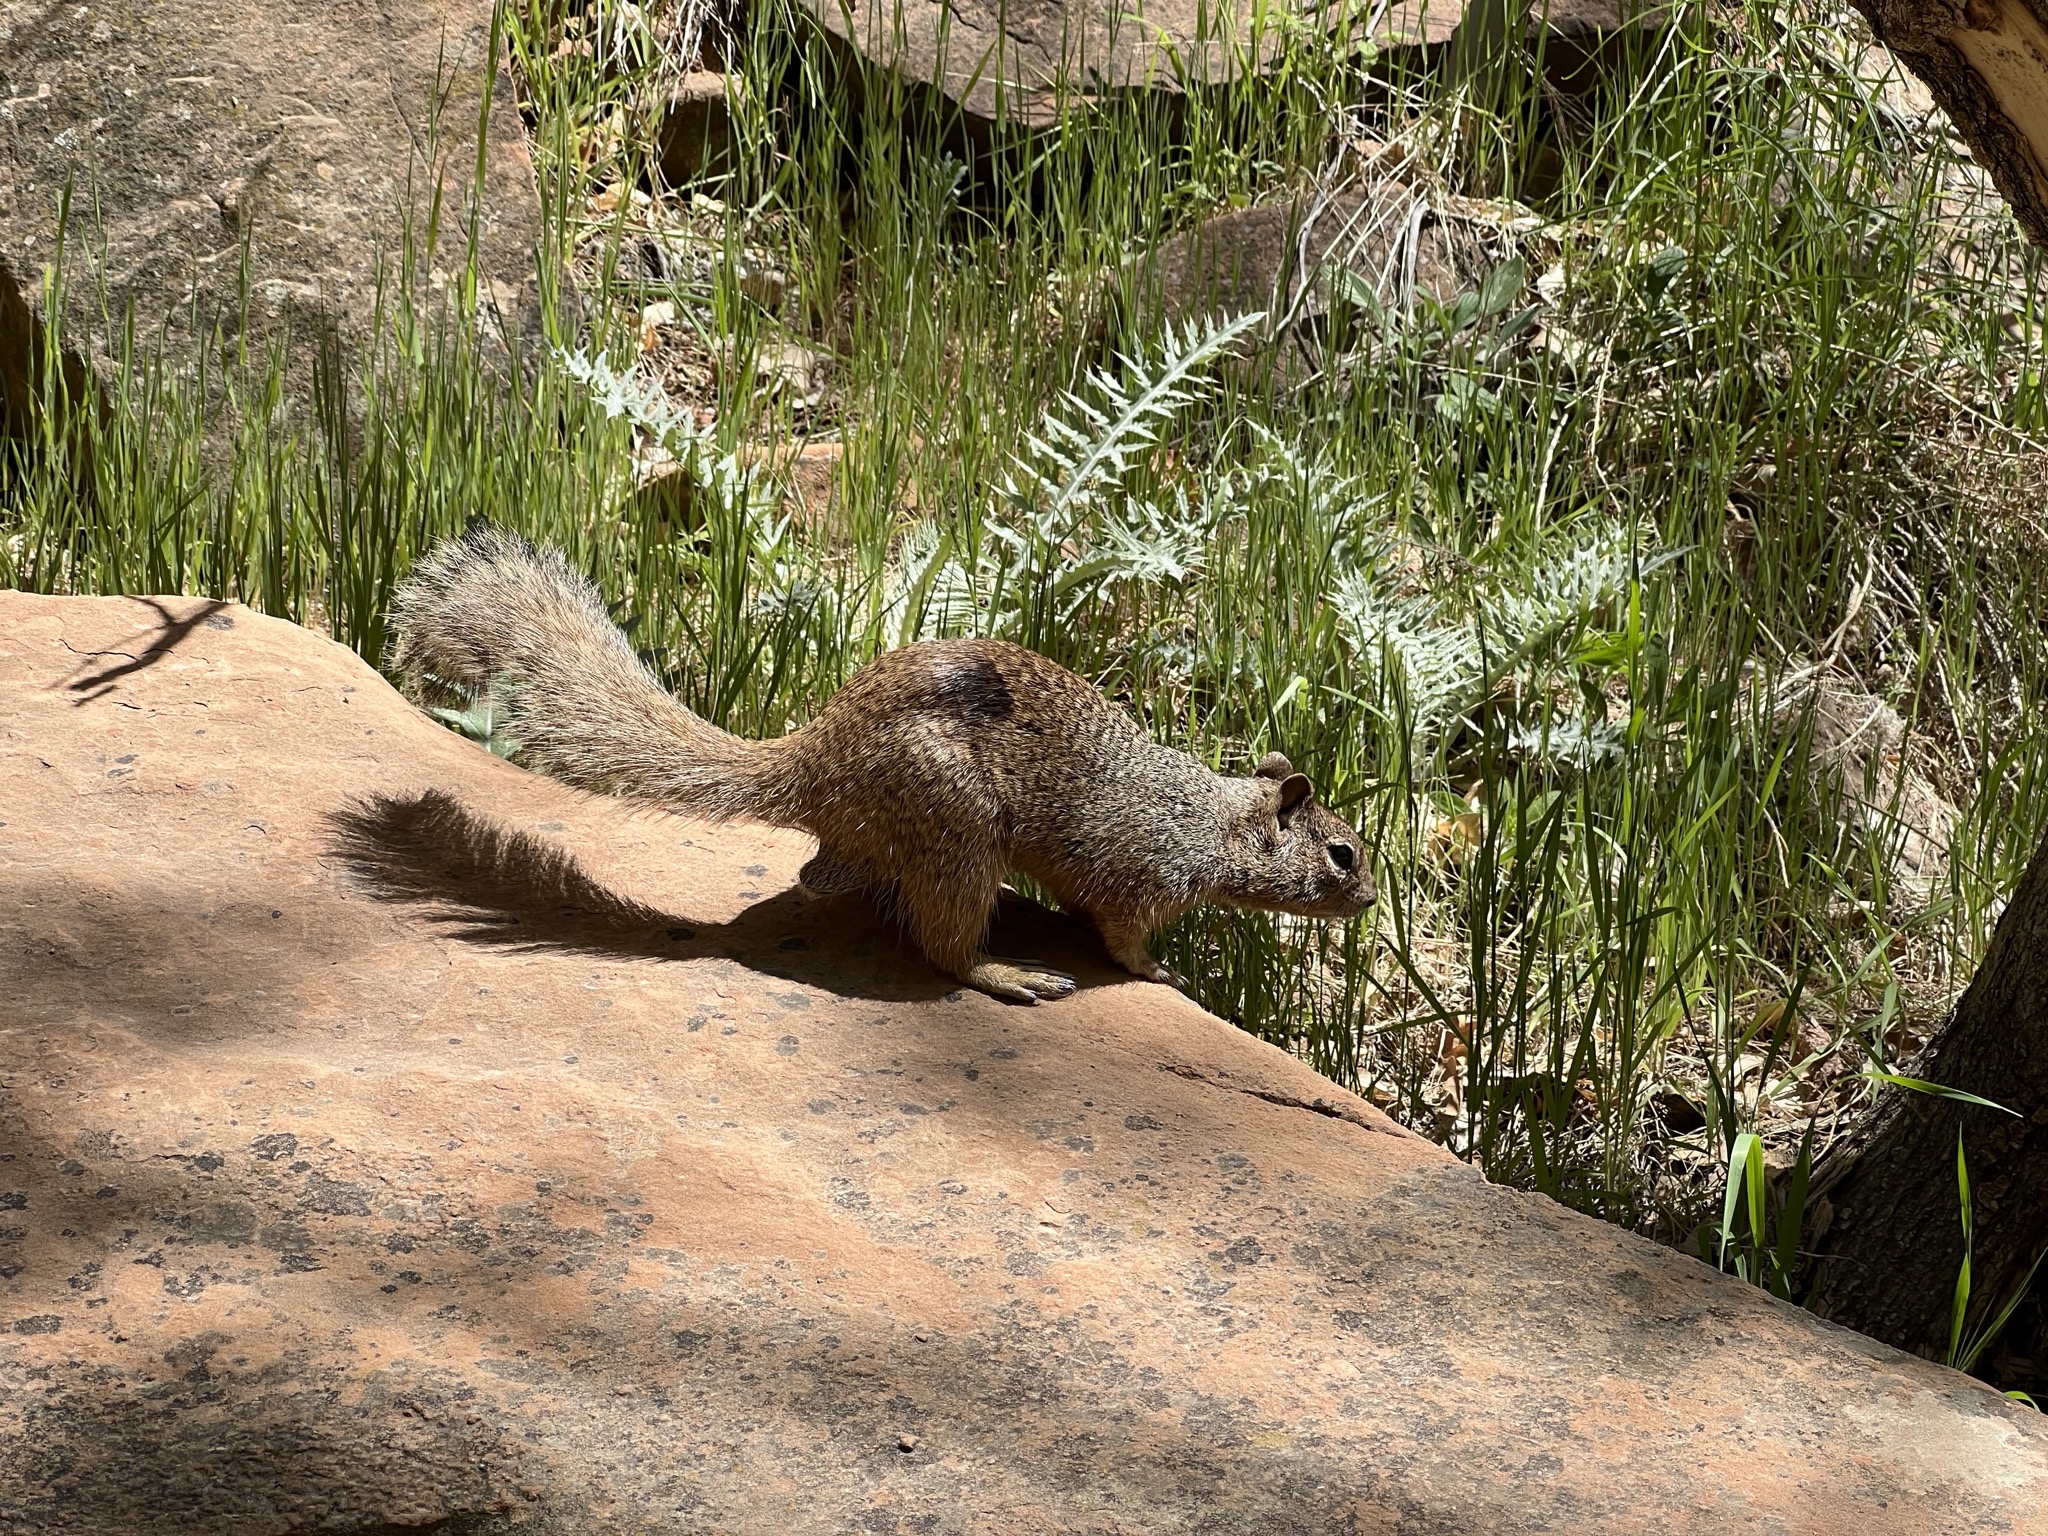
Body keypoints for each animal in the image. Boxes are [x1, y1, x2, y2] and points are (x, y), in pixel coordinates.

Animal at [386, 526, 1375, 1003]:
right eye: (1344, 855)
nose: (1368, 902)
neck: (1214, 819)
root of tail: (812, 760)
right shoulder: (1140, 880)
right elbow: (1124, 942)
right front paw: (1162, 974)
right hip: (957, 832)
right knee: (943, 950)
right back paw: (1009, 975)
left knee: (826, 878)